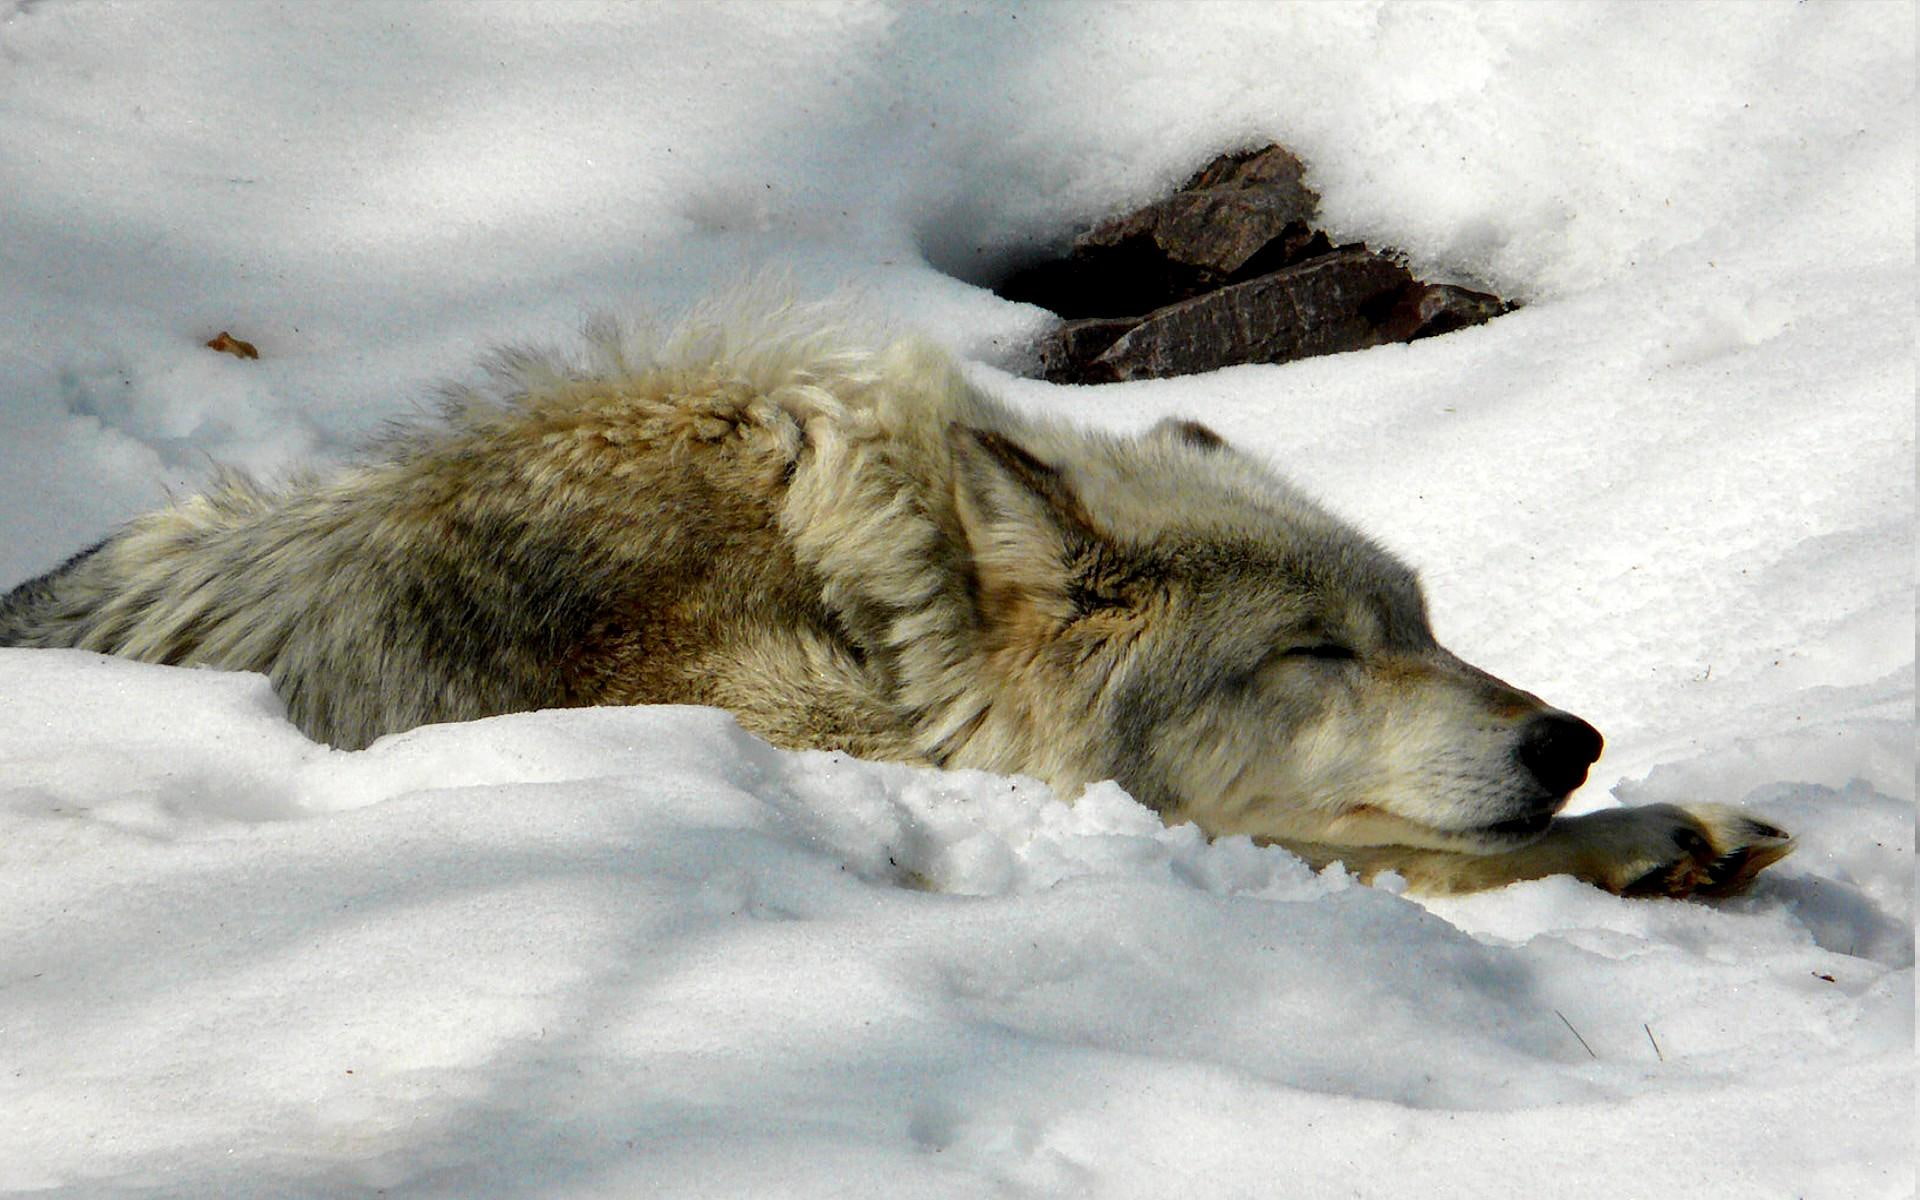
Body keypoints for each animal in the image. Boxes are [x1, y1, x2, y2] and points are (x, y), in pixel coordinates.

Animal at [0, 299, 1791, 897]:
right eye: (1314, 652)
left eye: (1425, 631)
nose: (1569, 739)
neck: (875, 613)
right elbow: (1367, 844)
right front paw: (1647, 835)